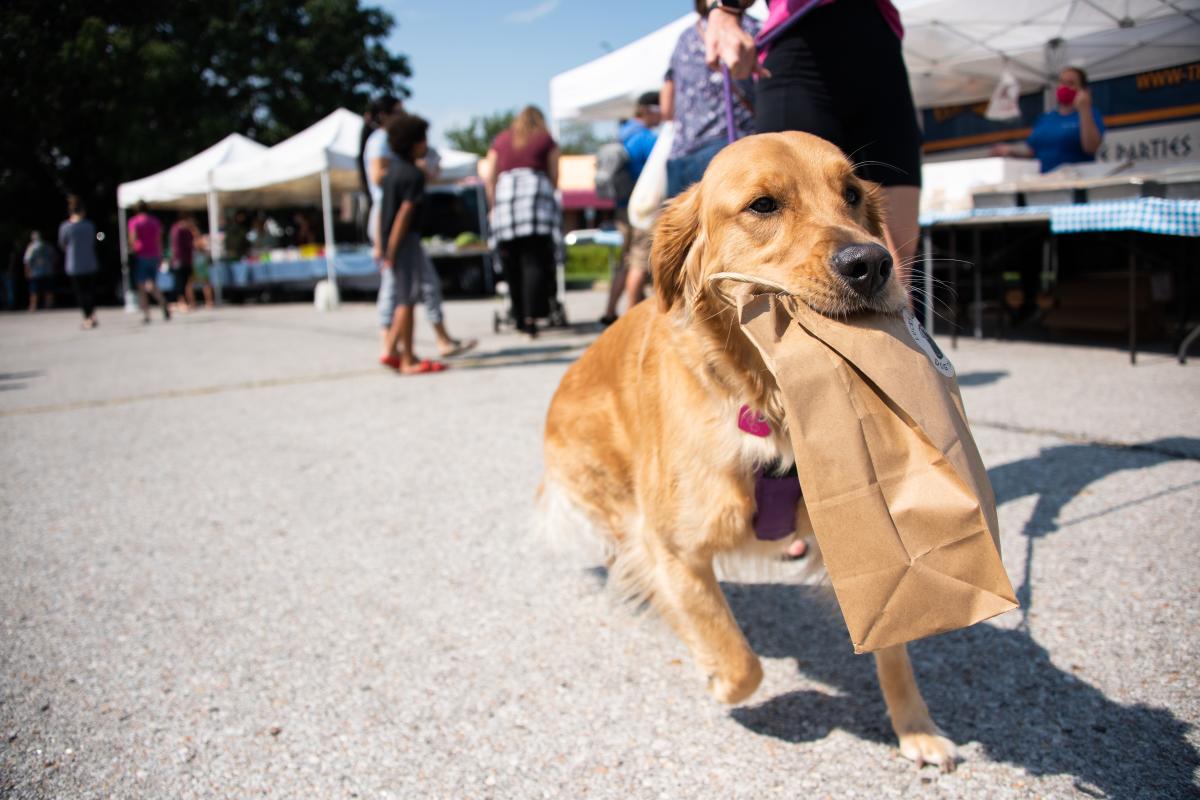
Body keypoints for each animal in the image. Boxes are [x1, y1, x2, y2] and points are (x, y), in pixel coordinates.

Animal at [544, 131, 955, 767]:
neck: (767, 404)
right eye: (763, 205)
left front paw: (916, 728)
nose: (872, 263)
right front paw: (716, 672)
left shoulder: (870, 547)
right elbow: (740, 663)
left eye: (853, 194)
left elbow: (896, 641)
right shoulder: (675, 548)